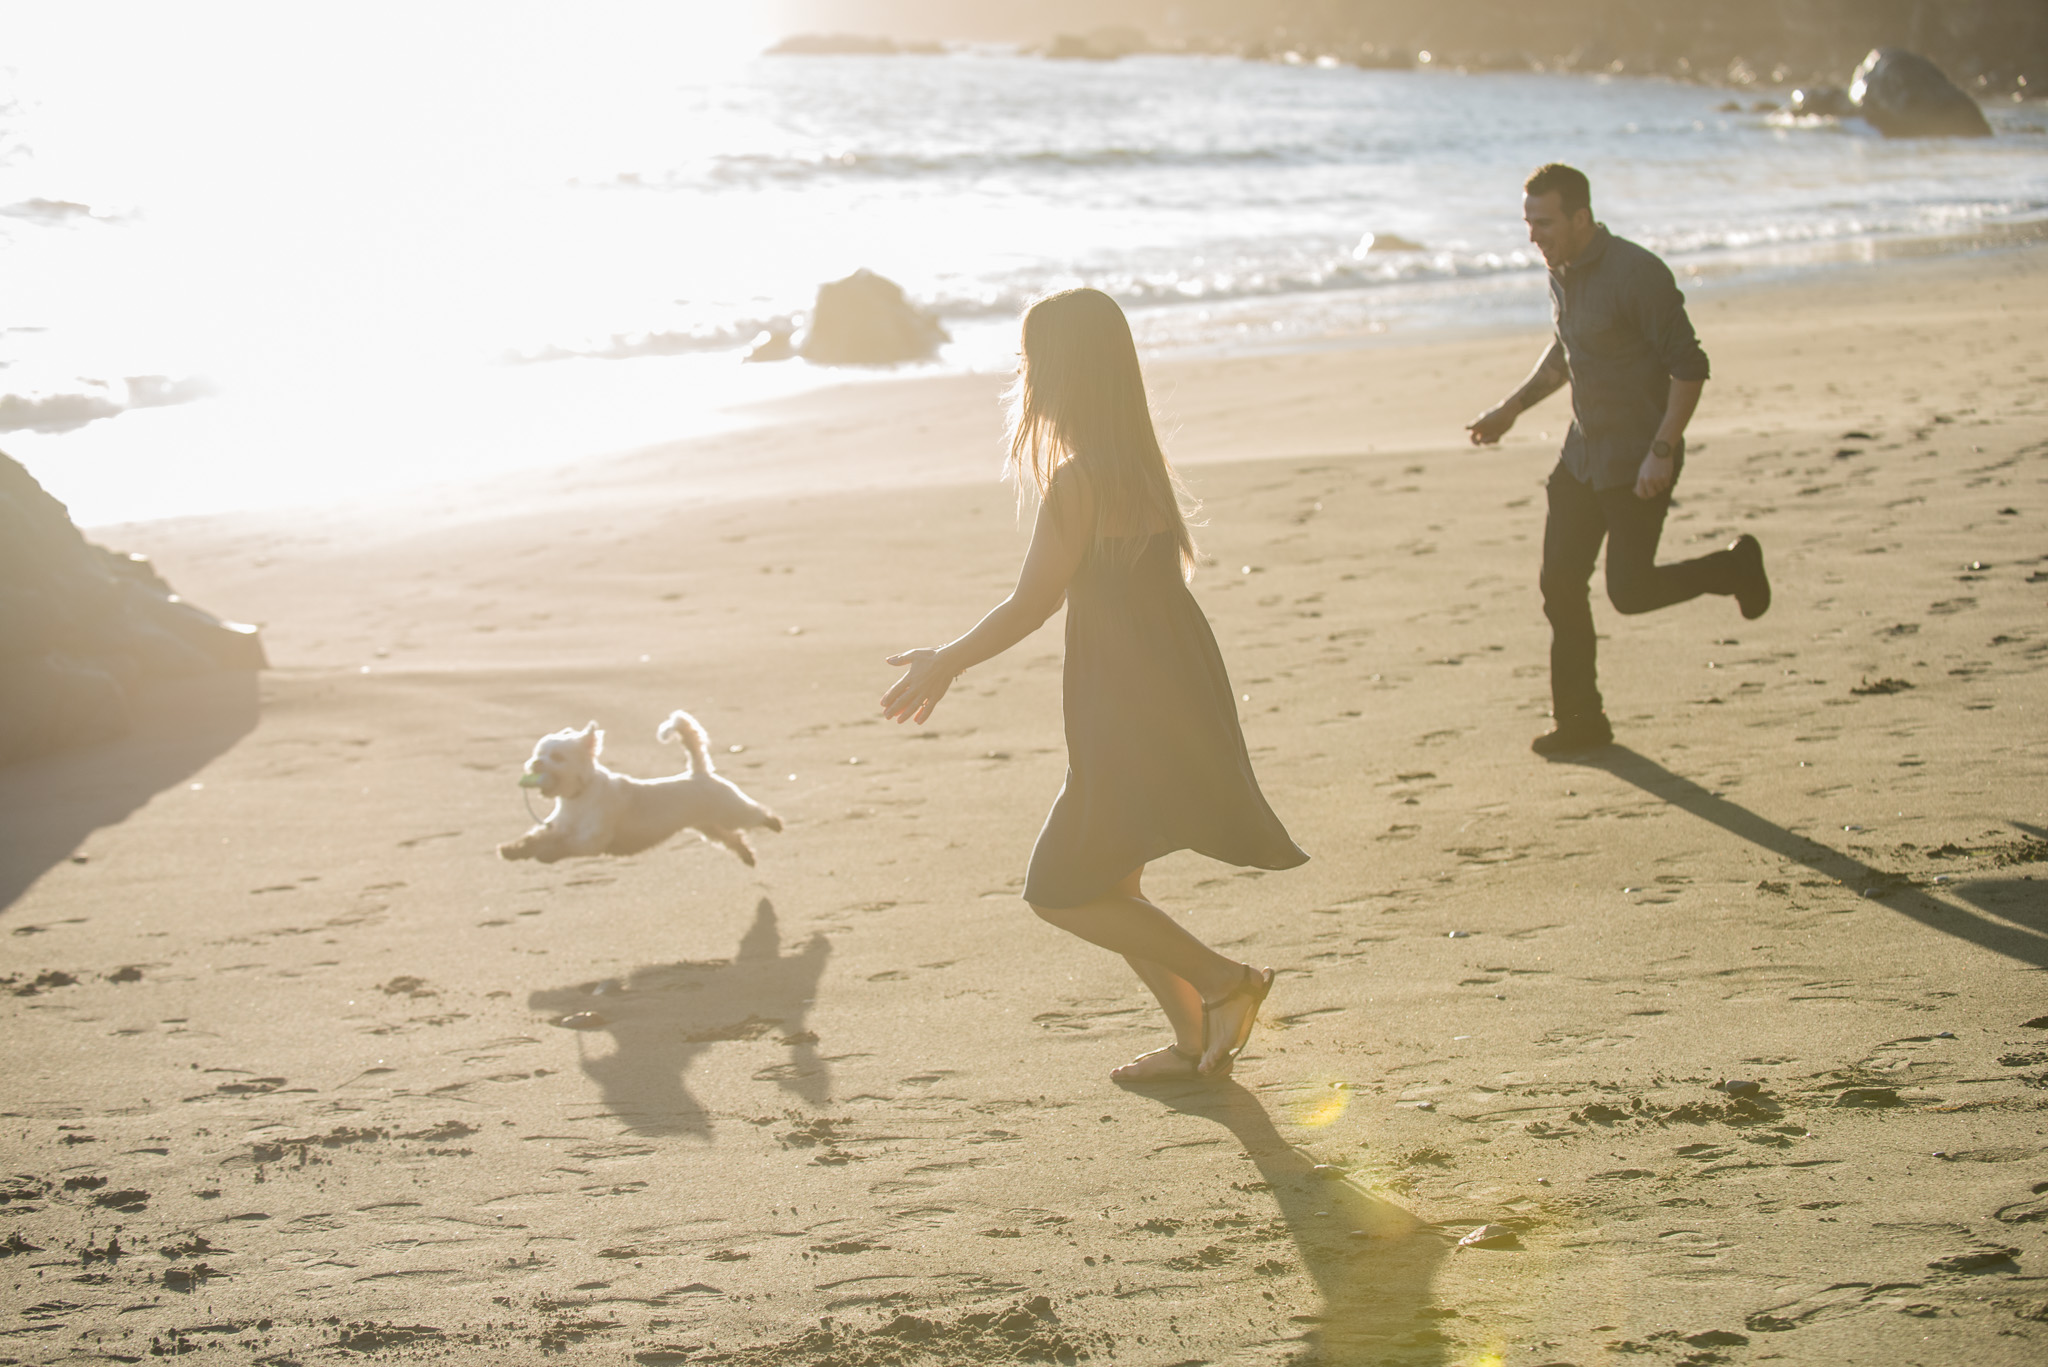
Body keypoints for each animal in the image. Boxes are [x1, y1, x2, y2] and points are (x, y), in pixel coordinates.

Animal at [495, 717, 782, 864]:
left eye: (556, 757)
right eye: (538, 753)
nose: (535, 763)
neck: (578, 796)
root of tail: (698, 772)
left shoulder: (593, 839)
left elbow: (564, 844)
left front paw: (547, 853)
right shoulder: (559, 826)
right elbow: (537, 837)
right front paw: (513, 849)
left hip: (730, 810)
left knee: (754, 814)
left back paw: (774, 822)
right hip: (707, 826)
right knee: (732, 838)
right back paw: (747, 855)